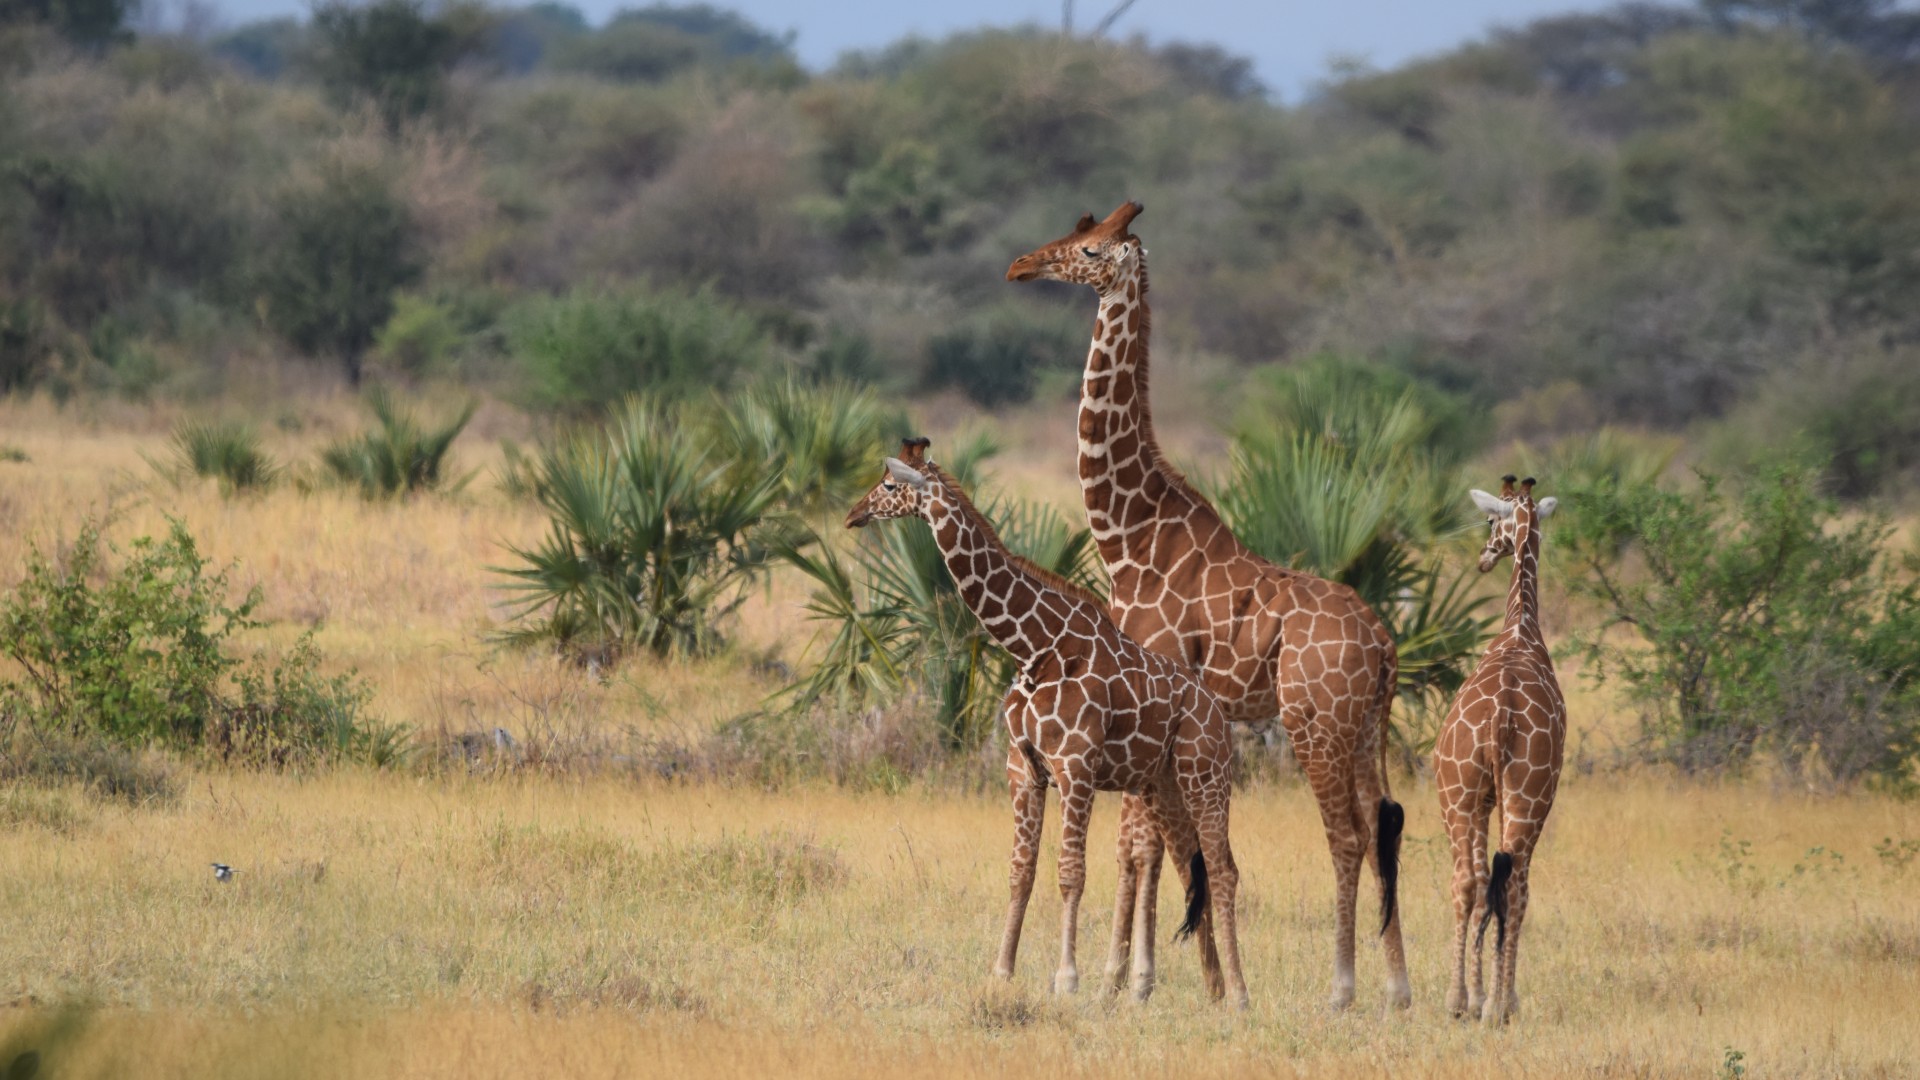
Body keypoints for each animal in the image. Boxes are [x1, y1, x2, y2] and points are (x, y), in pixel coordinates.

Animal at [848, 432, 1251, 1006]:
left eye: (887, 484)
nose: (853, 514)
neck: (1034, 647)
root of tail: (1218, 713)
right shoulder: (1024, 769)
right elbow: (1021, 871)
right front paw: (1001, 970)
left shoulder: (1075, 767)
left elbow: (1070, 873)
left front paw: (1067, 978)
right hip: (1161, 784)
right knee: (1180, 863)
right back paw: (1206, 988)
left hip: (1207, 774)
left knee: (1222, 870)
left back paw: (1238, 993)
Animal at [1006, 201, 1413, 1006]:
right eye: (1071, 230)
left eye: (1091, 248)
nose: (1021, 267)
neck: (1128, 535)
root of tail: (1383, 645)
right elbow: (1160, 843)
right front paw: (1191, 977)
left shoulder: (1146, 694)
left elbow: (1140, 843)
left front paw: (1123, 979)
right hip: (1362, 728)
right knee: (1382, 825)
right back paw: (1399, 987)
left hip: (1314, 722)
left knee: (1346, 835)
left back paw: (1341, 987)